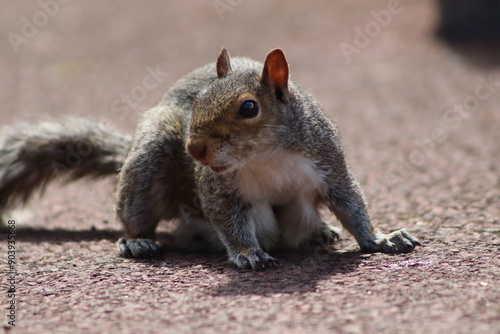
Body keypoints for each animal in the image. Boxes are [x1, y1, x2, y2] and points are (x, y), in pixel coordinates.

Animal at [0, 48, 422, 270]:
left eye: (249, 108)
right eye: (198, 101)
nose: (194, 150)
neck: (265, 155)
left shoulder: (327, 164)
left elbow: (351, 205)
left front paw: (381, 237)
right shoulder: (218, 187)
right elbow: (229, 220)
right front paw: (248, 254)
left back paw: (320, 231)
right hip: (148, 162)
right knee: (136, 217)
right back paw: (137, 242)